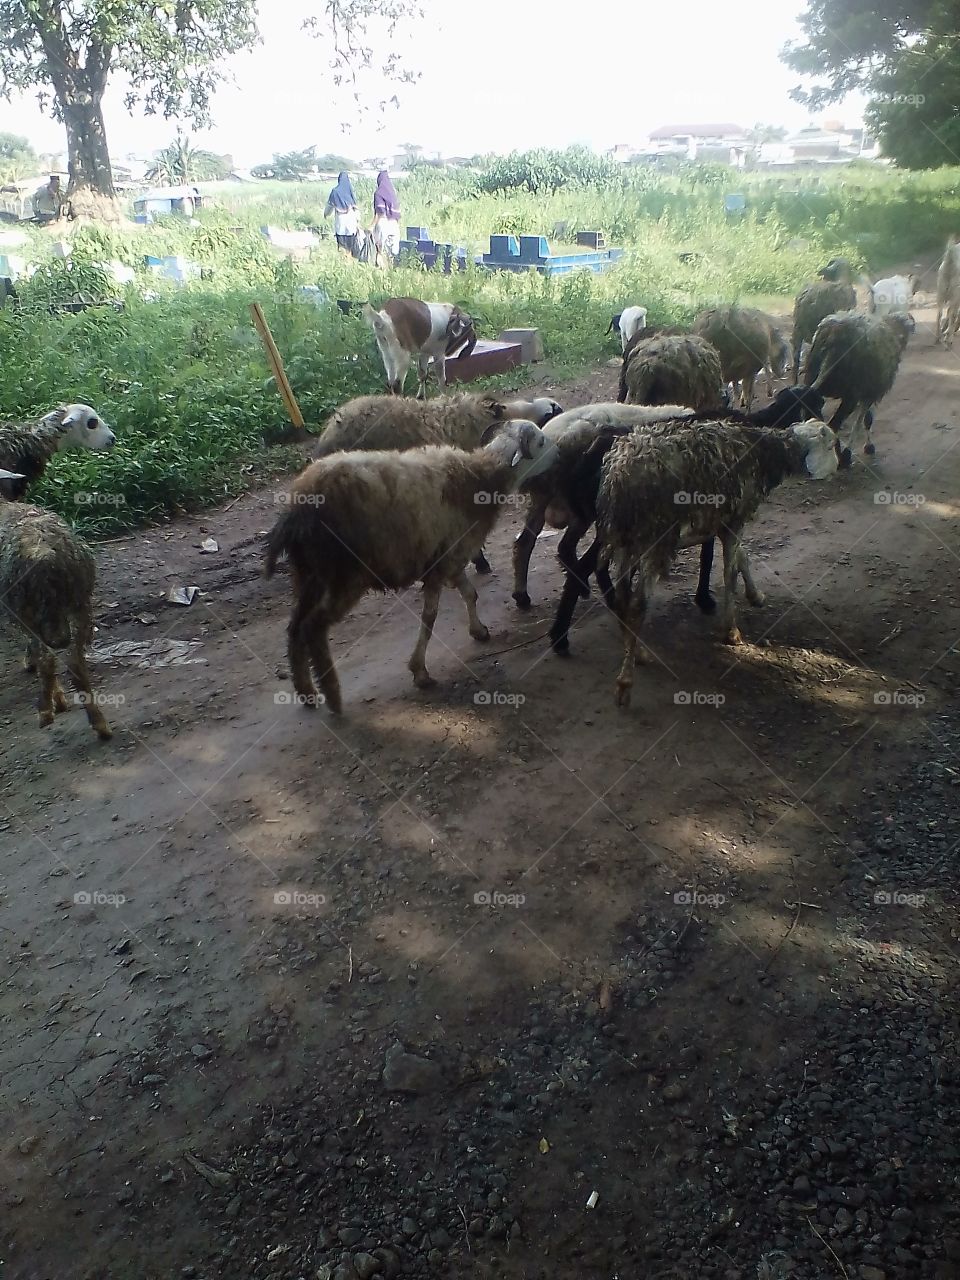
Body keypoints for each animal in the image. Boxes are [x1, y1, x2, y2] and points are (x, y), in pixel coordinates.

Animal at [0, 499, 112, 742]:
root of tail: (44, 556)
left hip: (26, 608)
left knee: (47, 659)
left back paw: (47, 710)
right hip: (79, 602)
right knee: (74, 662)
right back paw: (100, 724)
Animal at [555, 419, 839, 706]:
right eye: (831, 444)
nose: (839, 466)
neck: (764, 453)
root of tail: (618, 474)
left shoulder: (726, 521)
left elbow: (742, 558)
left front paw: (755, 595)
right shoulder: (735, 519)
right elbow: (729, 573)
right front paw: (732, 631)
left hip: (625, 538)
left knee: (623, 597)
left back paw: (638, 652)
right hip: (654, 538)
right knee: (636, 603)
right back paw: (624, 682)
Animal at [803, 309, 916, 460]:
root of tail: (833, 337)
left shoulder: (867, 392)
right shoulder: (870, 393)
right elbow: (865, 420)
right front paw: (864, 447)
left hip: (812, 386)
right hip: (850, 395)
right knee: (833, 425)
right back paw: (842, 457)